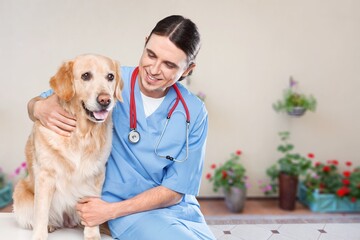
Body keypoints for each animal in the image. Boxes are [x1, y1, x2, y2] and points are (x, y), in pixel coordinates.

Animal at [12, 54, 123, 240]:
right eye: (86, 76)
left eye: (110, 76)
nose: (105, 100)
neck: (82, 134)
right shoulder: (45, 176)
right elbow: (41, 213)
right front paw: (39, 235)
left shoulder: (96, 174)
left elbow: (92, 208)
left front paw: (92, 235)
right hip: (21, 195)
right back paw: (50, 226)